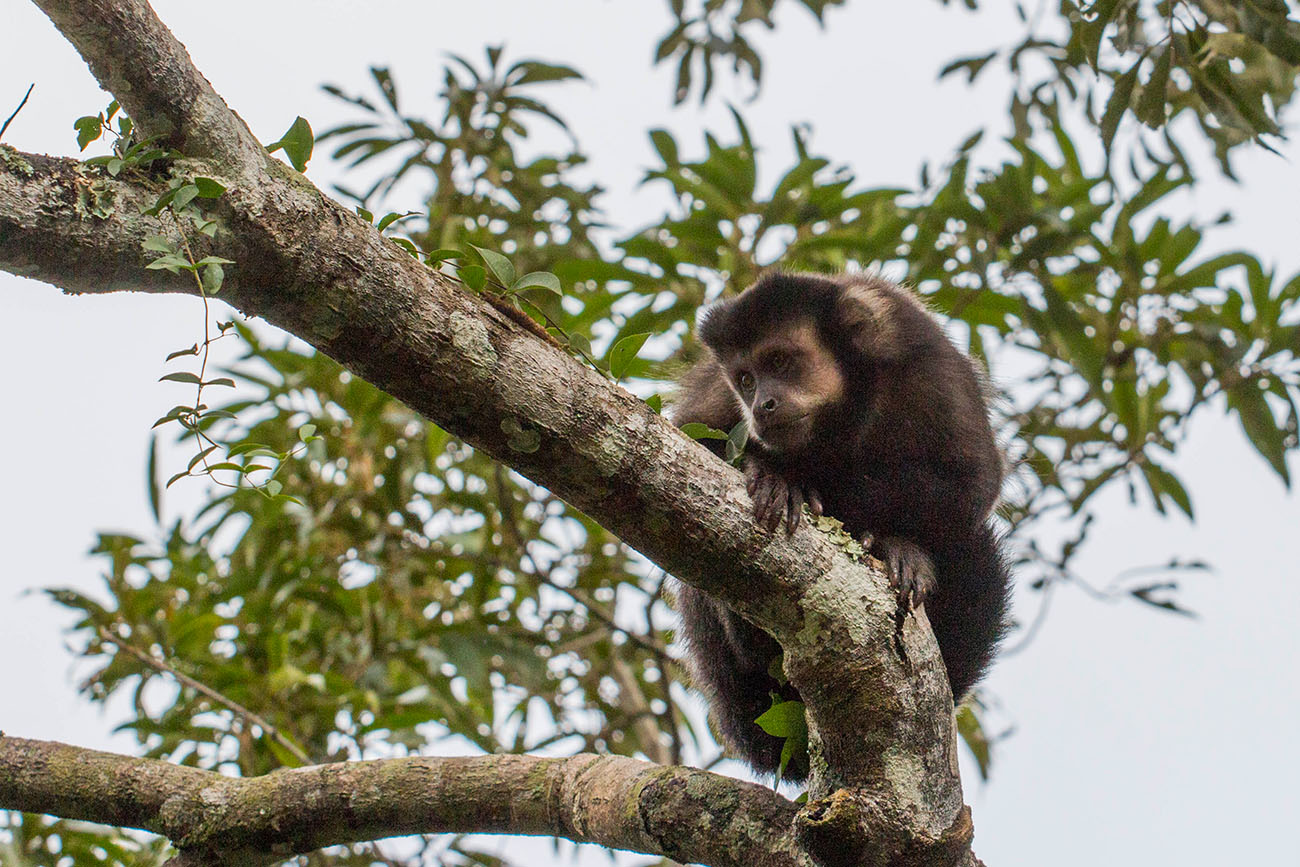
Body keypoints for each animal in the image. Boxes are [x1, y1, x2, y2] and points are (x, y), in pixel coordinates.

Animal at [676, 272, 1008, 785]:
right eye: (746, 379)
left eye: (781, 361)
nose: (762, 404)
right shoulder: (718, 388)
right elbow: (692, 433)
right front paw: (779, 477)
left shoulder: (926, 360)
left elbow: (973, 482)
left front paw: (895, 545)